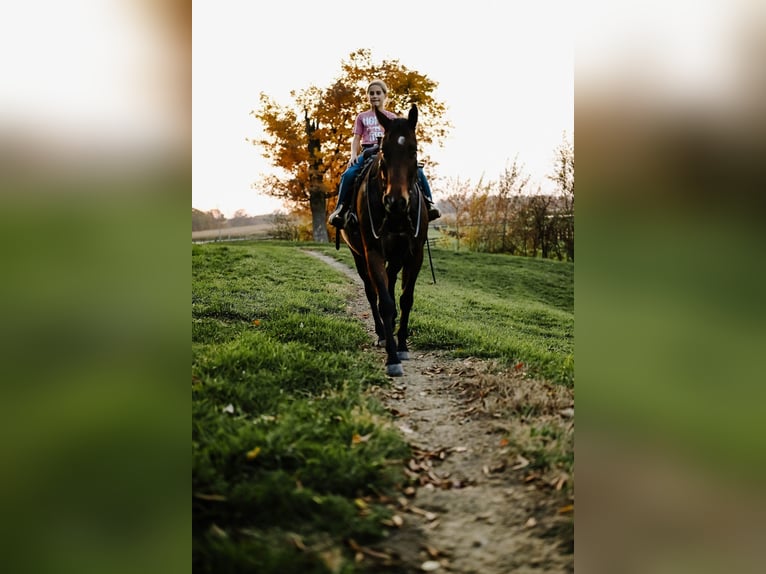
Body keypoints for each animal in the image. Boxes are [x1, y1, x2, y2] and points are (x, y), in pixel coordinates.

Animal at [342, 104, 432, 378]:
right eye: (384, 151)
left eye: (413, 150)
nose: (396, 201)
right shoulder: (373, 253)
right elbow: (385, 303)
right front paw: (392, 357)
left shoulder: (414, 254)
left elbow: (405, 300)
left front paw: (402, 345)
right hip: (359, 256)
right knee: (373, 294)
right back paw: (382, 333)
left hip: (396, 257)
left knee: (391, 285)